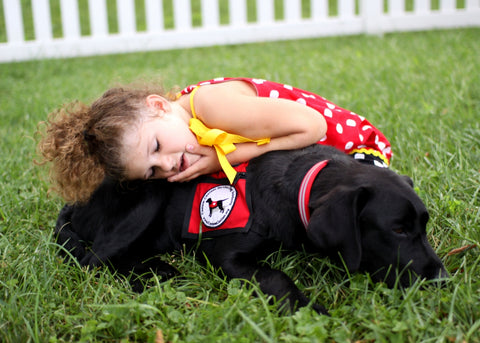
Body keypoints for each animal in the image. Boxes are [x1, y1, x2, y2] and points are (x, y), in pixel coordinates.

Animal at [55, 144, 446, 316]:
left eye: (424, 226)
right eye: (397, 229)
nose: (442, 279)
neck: (302, 181)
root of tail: (75, 202)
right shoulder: (225, 255)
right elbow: (276, 276)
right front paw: (306, 308)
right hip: (150, 191)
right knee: (94, 261)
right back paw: (150, 276)